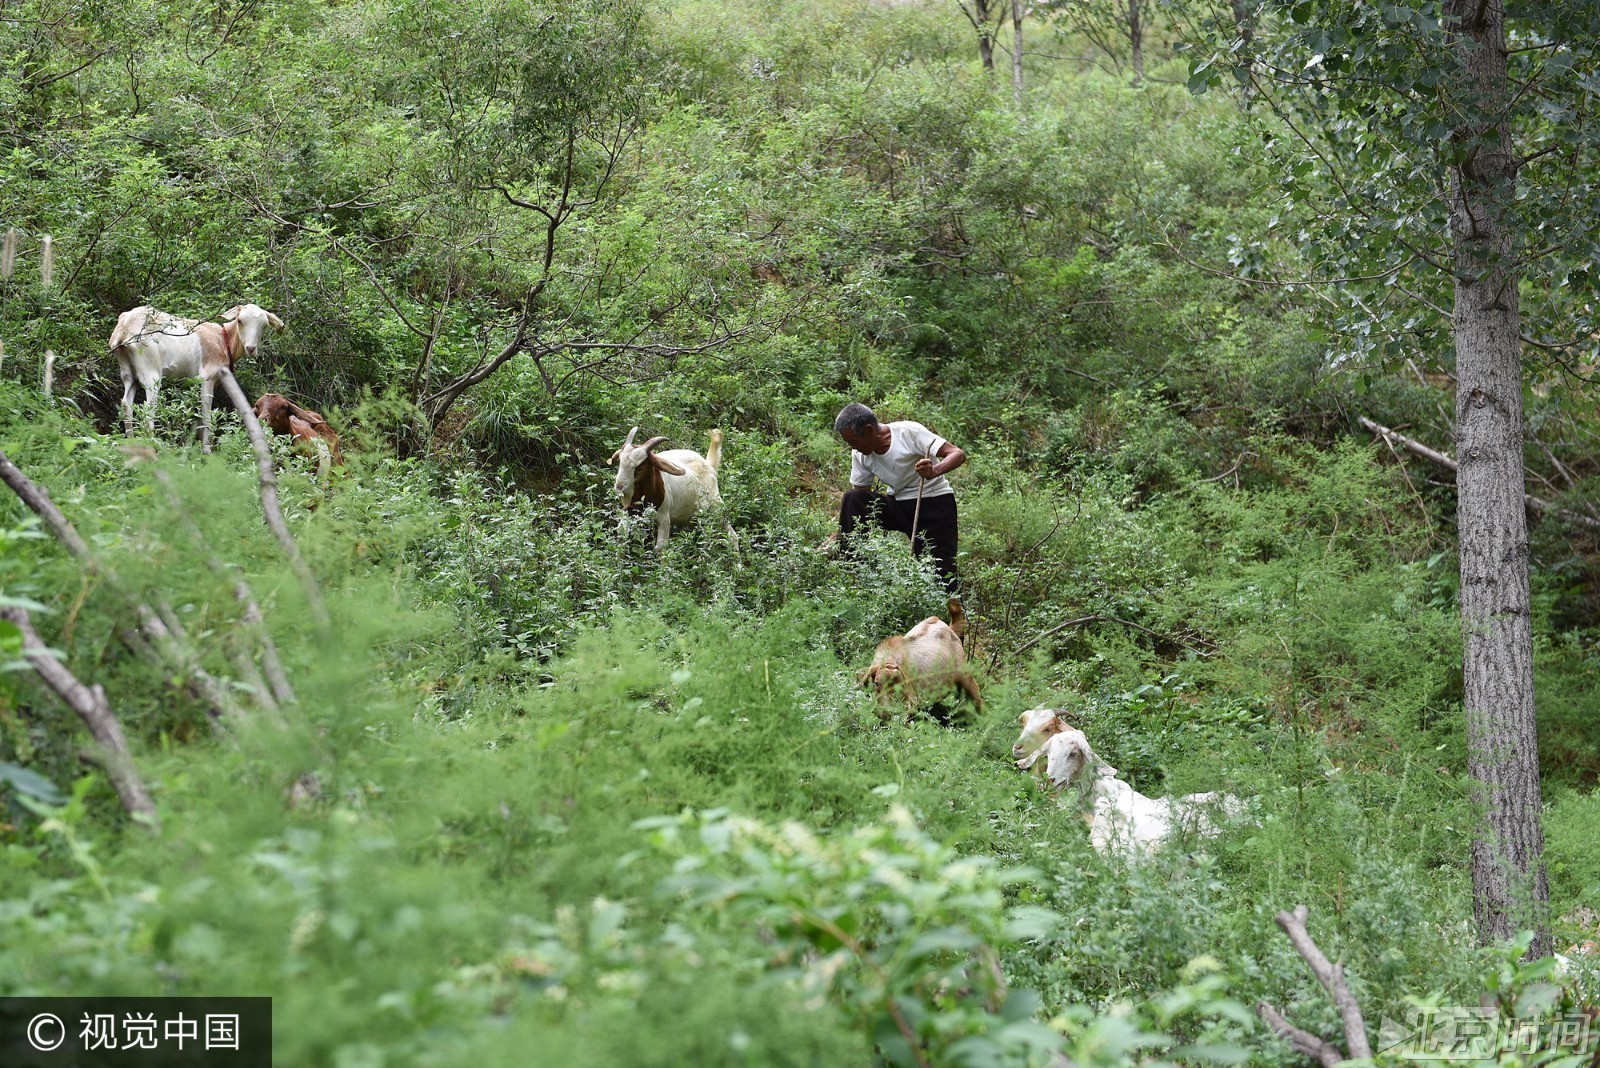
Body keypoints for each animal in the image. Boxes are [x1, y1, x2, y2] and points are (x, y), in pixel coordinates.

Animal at [608, 428, 739, 556]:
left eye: (640, 467)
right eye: (620, 462)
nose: (619, 487)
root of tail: (709, 465)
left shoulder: (664, 517)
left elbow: (660, 548)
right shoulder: (628, 511)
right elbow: (622, 539)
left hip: (715, 507)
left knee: (732, 535)